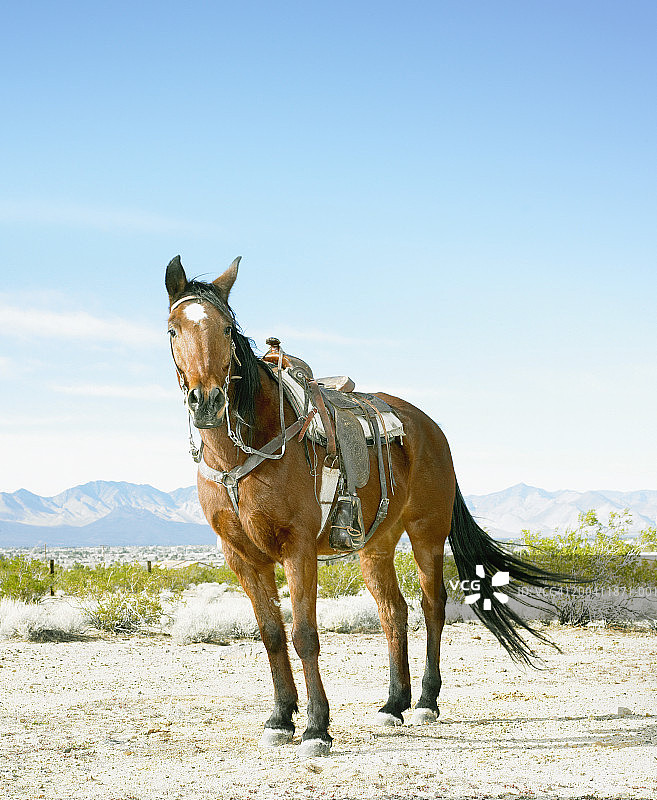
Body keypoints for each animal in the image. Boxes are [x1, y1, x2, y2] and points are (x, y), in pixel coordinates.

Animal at [165, 255, 564, 758]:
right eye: (173, 329)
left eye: (224, 327)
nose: (207, 400)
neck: (245, 451)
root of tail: (432, 429)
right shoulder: (242, 557)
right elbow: (272, 634)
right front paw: (280, 718)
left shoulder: (297, 548)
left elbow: (304, 635)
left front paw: (316, 727)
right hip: (377, 544)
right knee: (394, 611)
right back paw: (394, 703)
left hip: (427, 532)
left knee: (432, 606)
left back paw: (426, 701)